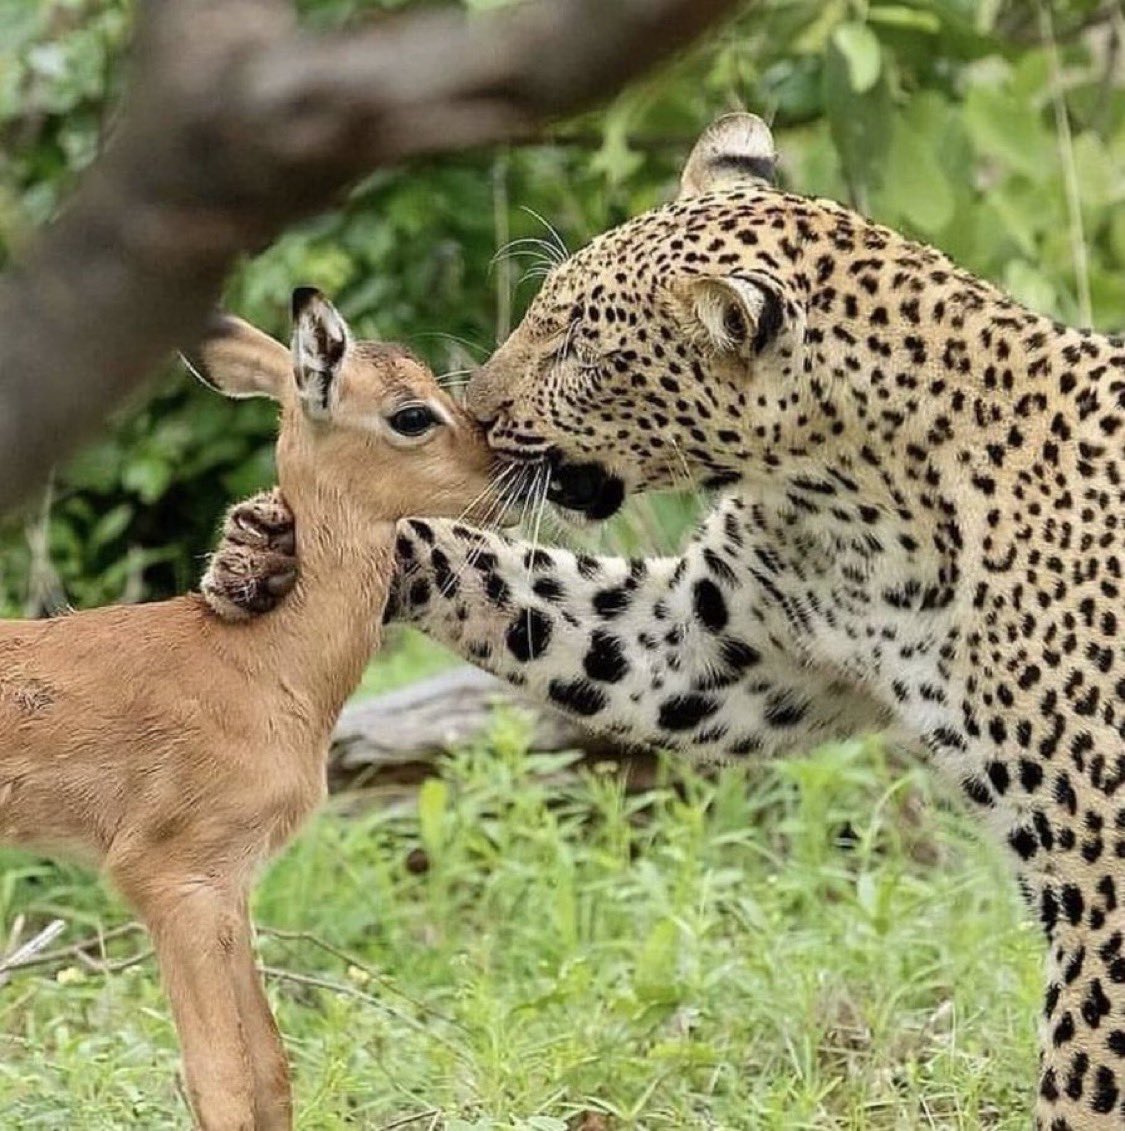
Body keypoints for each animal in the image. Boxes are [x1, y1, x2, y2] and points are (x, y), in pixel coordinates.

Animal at [0, 289, 504, 1130]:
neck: (268, 666)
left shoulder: (231, 883)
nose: (512, 471)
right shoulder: (170, 875)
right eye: (411, 413)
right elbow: (222, 1076)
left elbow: (270, 1068)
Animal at [202, 113, 1125, 1127]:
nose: (477, 416)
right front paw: (269, 544)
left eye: (578, 347)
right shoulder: (709, 641)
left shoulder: (1102, 880)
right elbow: (520, 589)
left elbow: (1085, 1072)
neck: (849, 509)